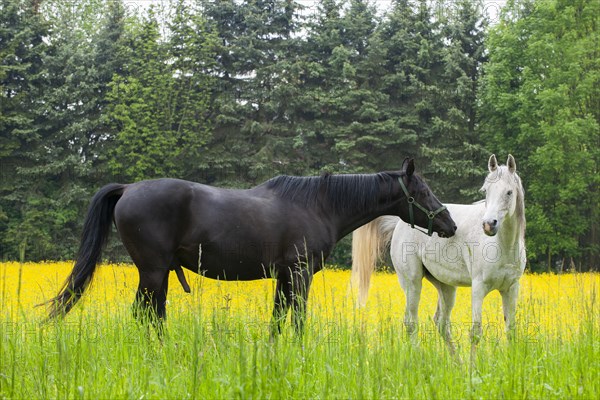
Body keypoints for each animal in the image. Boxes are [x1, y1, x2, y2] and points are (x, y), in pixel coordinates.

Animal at [44, 159, 454, 334]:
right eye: (422, 191)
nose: (448, 223)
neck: (319, 204)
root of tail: (128, 188)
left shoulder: (284, 277)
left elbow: (278, 319)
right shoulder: (299, 274)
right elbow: (297, 319)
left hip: (156, 275)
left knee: (152, 314)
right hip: (153, 272)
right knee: (145, 314)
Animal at [352, 155, 524, 348]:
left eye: (509, 192)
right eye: (486, 190)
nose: (488, 225)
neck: (503, 246)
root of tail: (398, 222)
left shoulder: (511, 289)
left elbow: (511, 331)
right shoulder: (478, 288)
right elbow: (475, 333)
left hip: (446, 287)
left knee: (441, 324)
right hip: (412, 283)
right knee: (411, 322)